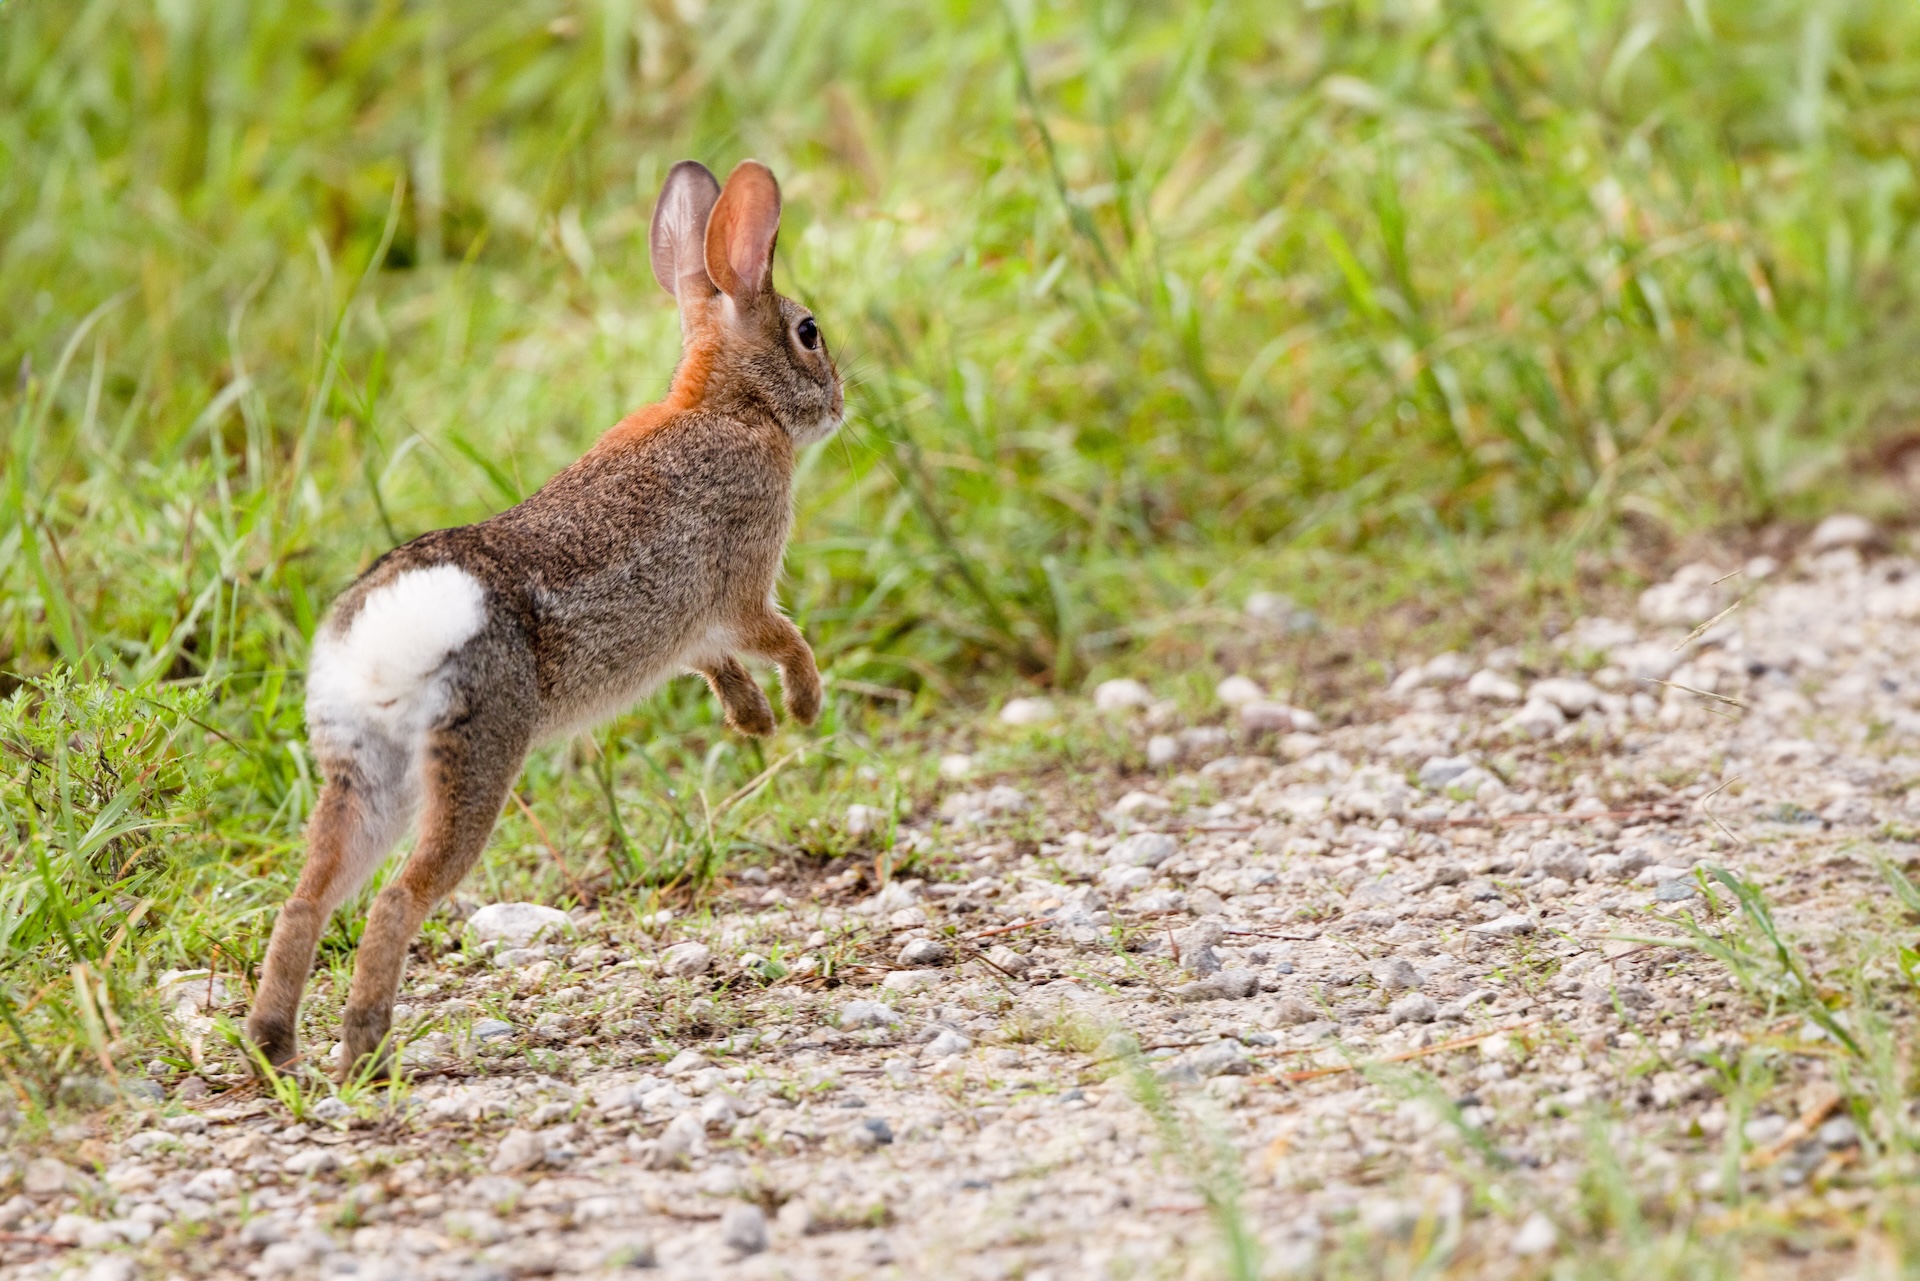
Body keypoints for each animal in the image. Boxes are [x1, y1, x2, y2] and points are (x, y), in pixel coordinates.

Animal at [243, 159, 841, 1078]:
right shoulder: (740, 587)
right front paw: (802, 709)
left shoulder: (692, 637)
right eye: (809, 332)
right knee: (396, 899)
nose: (842, 399)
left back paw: (274, 1047)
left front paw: (755, 721)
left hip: (364, 764)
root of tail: (386, 638)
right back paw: (365, 1052)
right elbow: (781, 637)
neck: (729, 402)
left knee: (306, 897)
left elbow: (718, 666)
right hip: (477, 753)